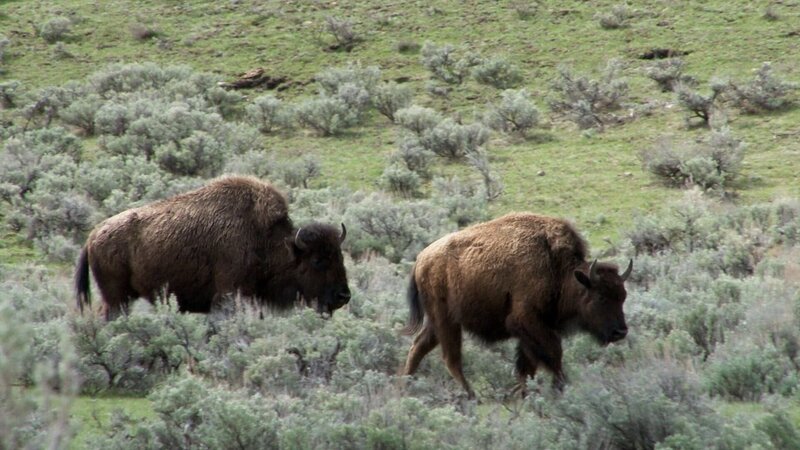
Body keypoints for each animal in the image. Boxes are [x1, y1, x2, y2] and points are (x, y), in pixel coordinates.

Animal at [75, 176, 350, 320]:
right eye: (317, 261)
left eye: (340, 257)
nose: (343, 296)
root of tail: (92, 237)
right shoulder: (228, 294)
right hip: (116, 299)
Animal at [404, 212, 636, 398]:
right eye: (601, 297)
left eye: (623, 296)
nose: (620, 332)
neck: (556, 269)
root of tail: (421, 258)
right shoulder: (527, 321)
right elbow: (553, 353)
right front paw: (557, 388)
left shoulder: (532, 331)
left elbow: (527, 365)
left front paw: (523, 394)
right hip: (445, 319)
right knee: (450, 358)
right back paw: (471, 396)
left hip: (437, 322)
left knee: (419, 346)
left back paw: (404, 386)